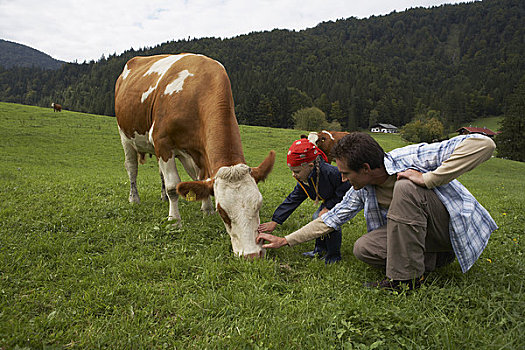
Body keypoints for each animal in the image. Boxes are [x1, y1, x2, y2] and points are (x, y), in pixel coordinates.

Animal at [114, 53, 274, 258]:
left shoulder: (199, 151)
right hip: (125, 136)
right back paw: (134, 199)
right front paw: (174, 221)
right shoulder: (162, 143)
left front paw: (206, 209)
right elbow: (174, 187)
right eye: (223, 212)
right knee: (132, 169)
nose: (252, 255)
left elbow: (202, 180)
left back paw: (163, 198)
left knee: (161, 173)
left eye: (259, 205)